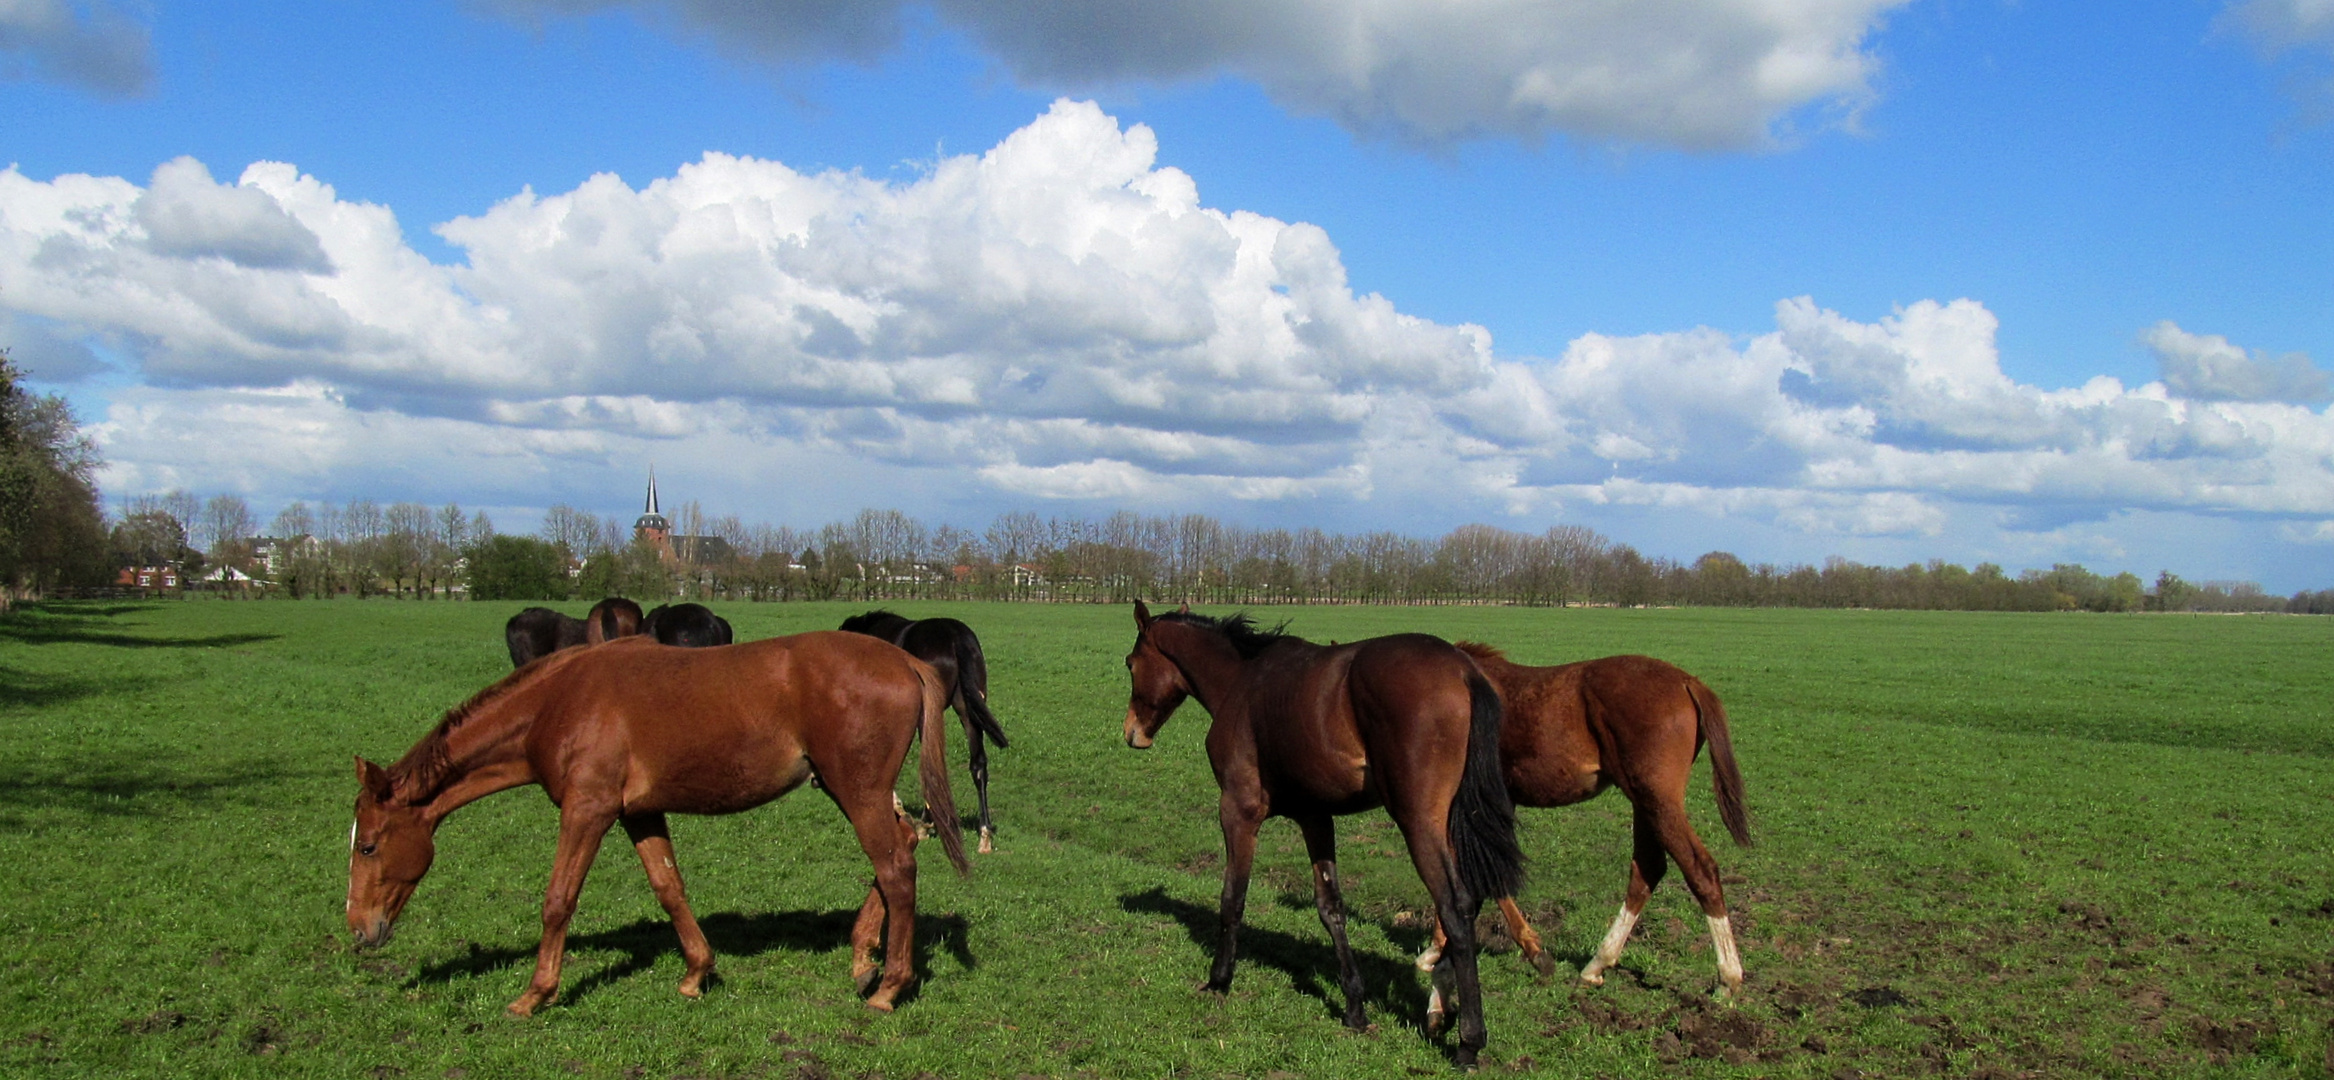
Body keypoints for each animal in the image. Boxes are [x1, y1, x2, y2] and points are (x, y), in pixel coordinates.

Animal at [343, 634, 966, 1017]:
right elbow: (669, 887)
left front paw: (535, 994)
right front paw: (697, 973)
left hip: (856, 791)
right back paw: (862, 959)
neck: (559, 702)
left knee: (896, 867)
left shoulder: (588, 809)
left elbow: (558, 899)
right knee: (902, 848)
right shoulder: (637, 813)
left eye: (368, 846)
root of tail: (907, 663)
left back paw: (889, 986)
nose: (360, 930)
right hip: (849, 789)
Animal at [1115, 606, 1521, 1068]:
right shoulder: (1315, 817)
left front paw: (1219, 980)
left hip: (1419, 823)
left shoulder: (1238, 811)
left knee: (1455, 908)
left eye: (1130, 663)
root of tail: (1462, 670)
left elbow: (1232, 899)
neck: (1243, 679)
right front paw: (1355, 1007)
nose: (1132, 732)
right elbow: (1331, 908)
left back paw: (1469, 1040)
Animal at [1400, 648, 1755, 1003]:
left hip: (1658, 801)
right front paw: (1438, 949)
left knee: (1699, 870)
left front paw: (1529, 951)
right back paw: (1597, 964)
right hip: (1645, 802)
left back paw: (1727, 978)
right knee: (1648, 868)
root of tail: (1688, 682)